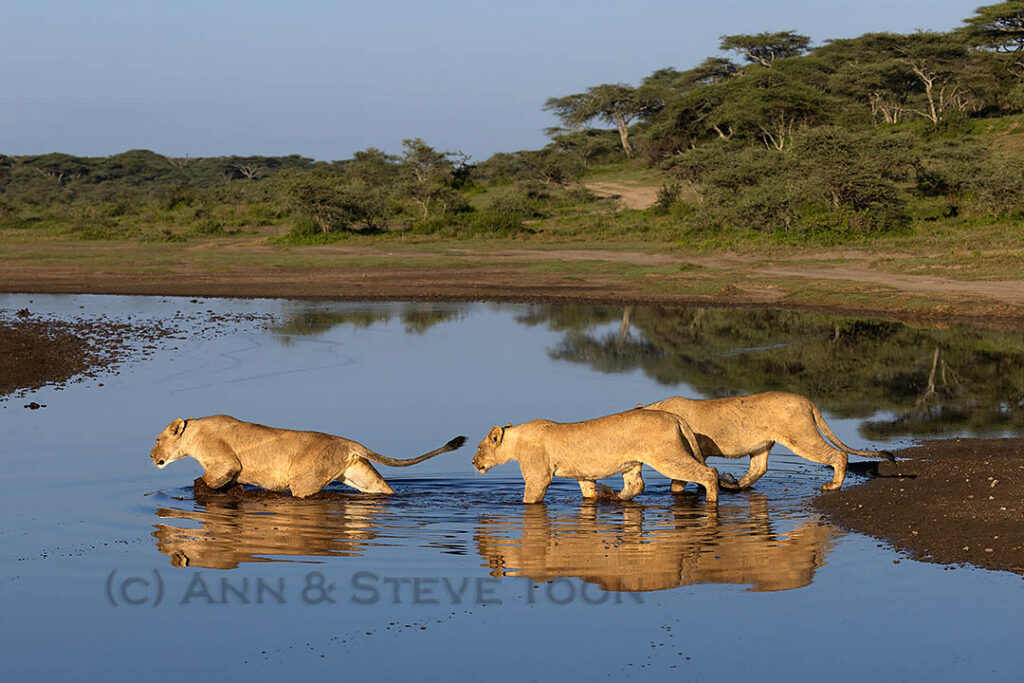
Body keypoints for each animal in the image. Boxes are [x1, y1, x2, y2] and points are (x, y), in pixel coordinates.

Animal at [150, 415, 466, 497]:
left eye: (157, 439)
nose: (151, 455)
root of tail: (347, 441)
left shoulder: (226, 462)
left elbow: (205, 481)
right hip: (358, 474)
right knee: (382, 488)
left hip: (304, 481)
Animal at [471, 409, 719, 504]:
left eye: (480, 447)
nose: (473, 462)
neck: (516, 438)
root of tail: (674, 416)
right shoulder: (584, 474)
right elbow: (588, 492)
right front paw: (595, 498)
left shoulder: (538, 476)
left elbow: (530, 497)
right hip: (632, 463)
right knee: (636, 485)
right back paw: (614, 497)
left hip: (666, 457)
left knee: (710, 472)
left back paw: (711, 501)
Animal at [639, 392, 895, 492]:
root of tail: (806, 400)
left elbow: (677, 482)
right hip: (762, 445)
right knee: (758, 468)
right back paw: (733, 485)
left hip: (800, 437)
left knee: (838, 455)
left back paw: (833, 486)